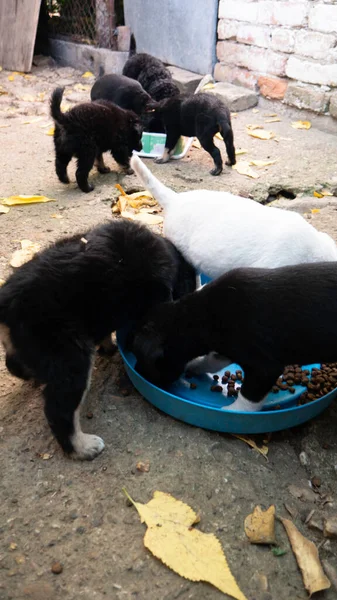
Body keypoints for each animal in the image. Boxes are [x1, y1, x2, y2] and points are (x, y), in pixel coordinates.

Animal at [0, 220, 196, 460]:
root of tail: (6, 303)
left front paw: (108, 346)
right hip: (70, 356)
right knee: (59, 409)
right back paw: (82, 447)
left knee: (14, 364)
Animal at [131, 262, 336, 412]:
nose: (137, 371)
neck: (196, 316)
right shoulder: (225, 349)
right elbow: (210, 361)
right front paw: (194, 365)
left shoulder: (263, 368)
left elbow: (248, 398)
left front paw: (230, 411)